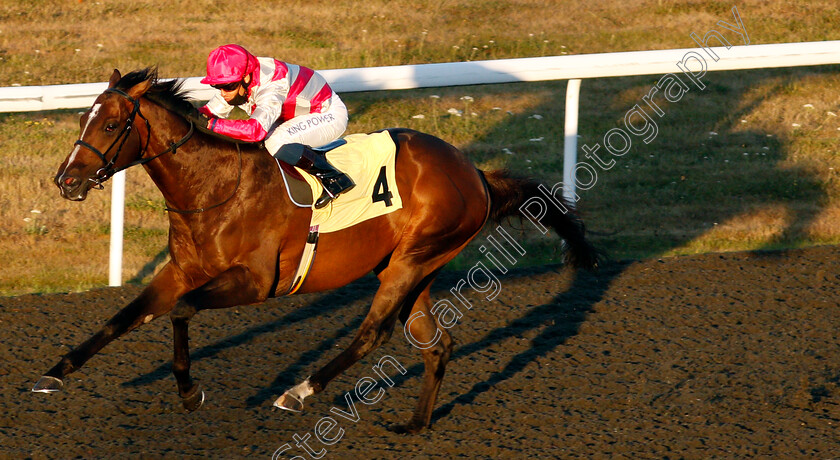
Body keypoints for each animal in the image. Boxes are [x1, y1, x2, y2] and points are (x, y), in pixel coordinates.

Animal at [32, 68, 596, 434]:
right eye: (82, 119)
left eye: (110, 125)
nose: (66, 181)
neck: (215, 187)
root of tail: (474, 172)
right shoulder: (181, 270)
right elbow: (124, 317)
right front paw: (53, 374)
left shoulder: (256, 282)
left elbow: (182, 311)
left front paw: (190, 391)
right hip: (415, 266)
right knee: (436, 344)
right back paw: (415, 425)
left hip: (413, 259)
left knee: (373, 333)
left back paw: (298, 392)